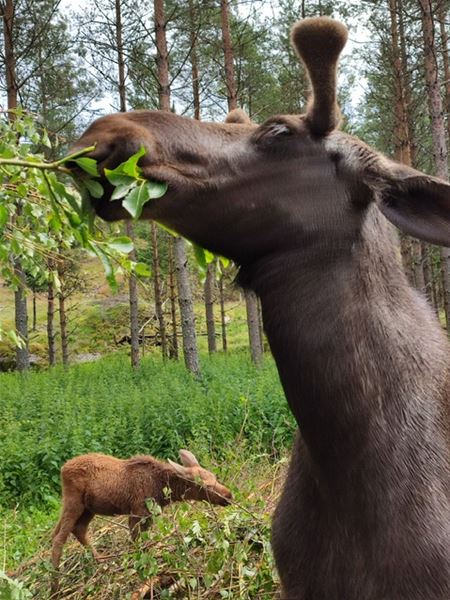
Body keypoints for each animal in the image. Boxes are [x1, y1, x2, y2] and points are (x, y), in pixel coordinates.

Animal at [51, 450, 230, 572]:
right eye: (204, 486)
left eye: (214, 476)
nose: (229, 495)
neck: (161, 488)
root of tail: (63, 469)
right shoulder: (137, 512)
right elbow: (138, 544)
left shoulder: (148, 515)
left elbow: (145, 542)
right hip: (73, 503)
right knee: (59, 538)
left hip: (88, 509)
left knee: (76, 530)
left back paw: (101, 562)